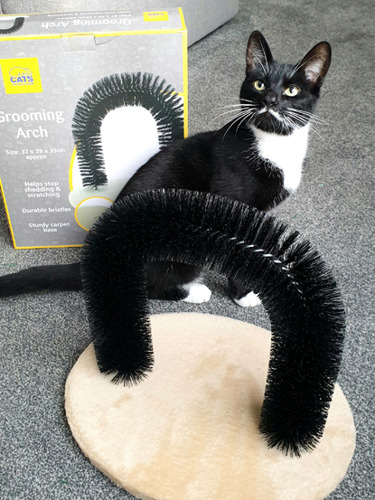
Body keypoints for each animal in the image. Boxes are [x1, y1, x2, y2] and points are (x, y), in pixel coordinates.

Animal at [0, 31, 332, 306]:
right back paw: (195, 291)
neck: (273, 142)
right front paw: (243, 294)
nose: (270, 99)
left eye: (291, 90)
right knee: (149, 286)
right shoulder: (232, 201)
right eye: (259, 83)